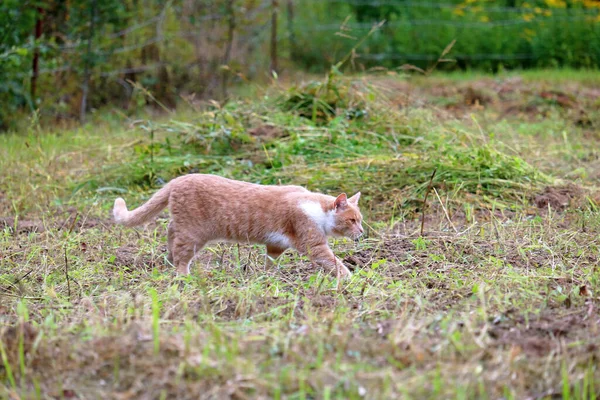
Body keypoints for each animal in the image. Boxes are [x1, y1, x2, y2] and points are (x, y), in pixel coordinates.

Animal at [114, 173, 364, 276]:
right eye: (352, 220)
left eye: (360, 220)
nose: (362, 233)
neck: (315, 208)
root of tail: (177, 179)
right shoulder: (314, 245)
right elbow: (334, 262)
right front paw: (349, 277)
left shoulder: (276, 245)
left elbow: (270, 261)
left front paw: (268, 276)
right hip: (193, 234)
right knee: (181, 255)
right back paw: (182, 274)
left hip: (184, 228)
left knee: (170, 232)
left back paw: (167, 259)